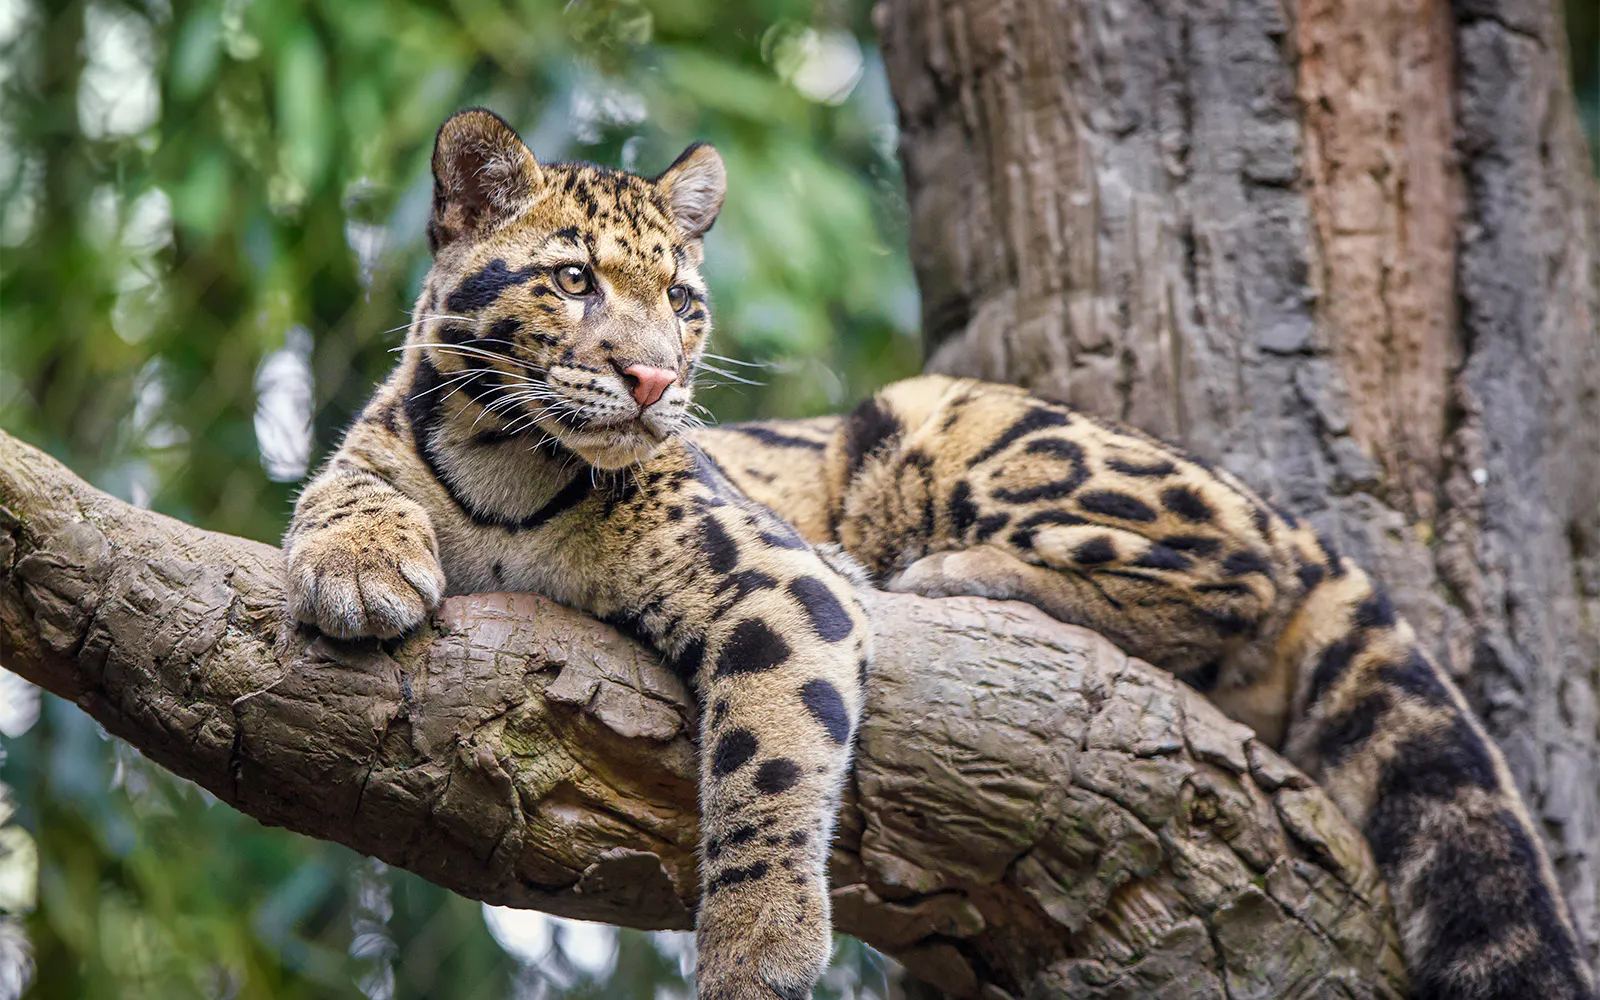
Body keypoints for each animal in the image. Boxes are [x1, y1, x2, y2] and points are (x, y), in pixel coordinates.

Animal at [286, 108, 1594, 1000]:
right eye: (571, 279)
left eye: (685, 303)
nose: (656, 379)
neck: (506, 462)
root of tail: (1293, 517)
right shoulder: (384, 443)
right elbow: (337, 487)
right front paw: (357, 565)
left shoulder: (778, 576)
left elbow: (768, 756)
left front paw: (756, 947)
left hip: (952, 423)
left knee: (1236, 577)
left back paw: (959, 575)